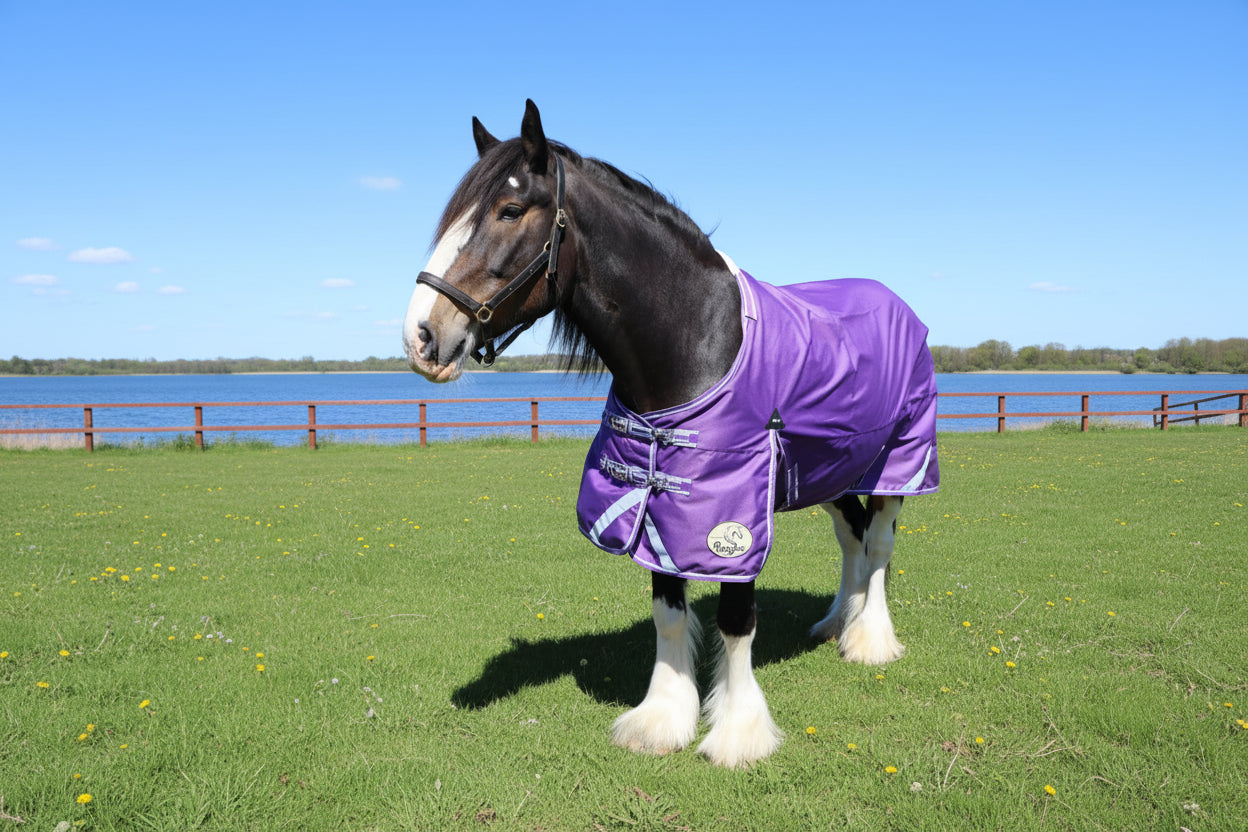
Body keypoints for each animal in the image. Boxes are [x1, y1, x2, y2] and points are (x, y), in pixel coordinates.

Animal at [403, 100, 939, 768]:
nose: (420, 335)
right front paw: (661, 720)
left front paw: (737, 732)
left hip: (899, 461)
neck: (696, 339)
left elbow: (736, 619)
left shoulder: (731, 513)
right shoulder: (657, 502)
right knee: (853, 537)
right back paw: (838, 623)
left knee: (881, 542)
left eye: (508, 210)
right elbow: (669, 612)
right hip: (828, 469)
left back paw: (869, 640)